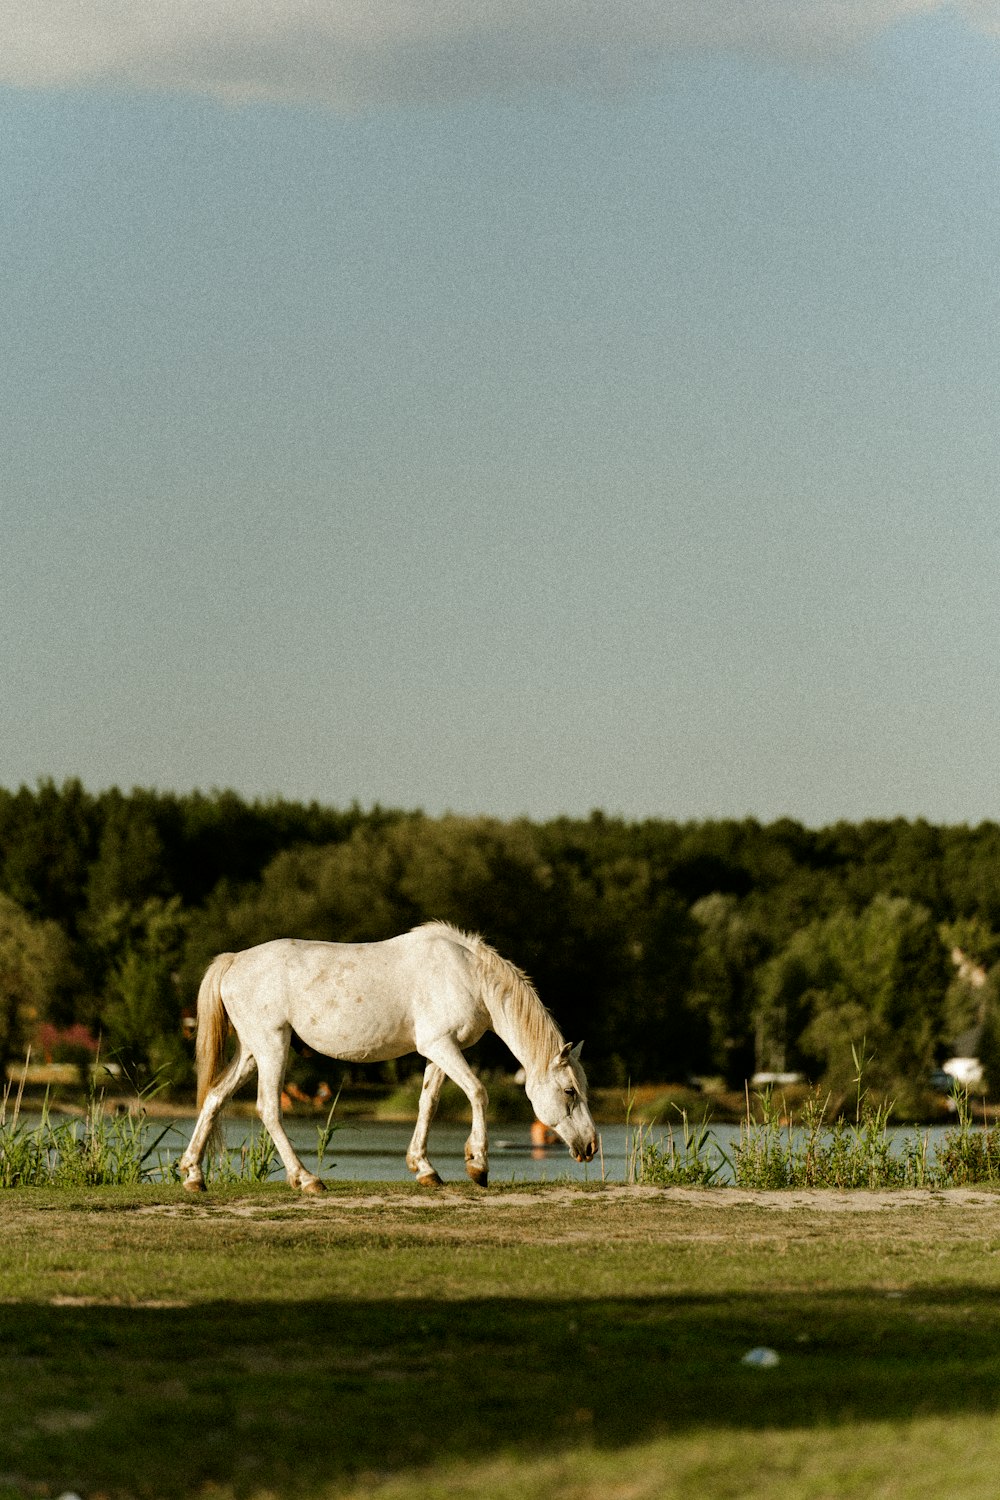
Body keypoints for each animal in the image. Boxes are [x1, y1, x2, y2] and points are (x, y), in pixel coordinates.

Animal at [176, 912, 599, 1194]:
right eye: (569, 1091)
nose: (592, 1146)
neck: (469, 975)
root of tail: (233, 961)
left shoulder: (439, 1051)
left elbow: (427, 1104)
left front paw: (424, 1168)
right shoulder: (440, 1045)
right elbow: (478, 1092)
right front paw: (477, 1165)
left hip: (251, 1053)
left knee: (215, 1097)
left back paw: (193, 1174)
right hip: (272, 1047)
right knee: (268, 1107)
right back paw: (307, 1179)